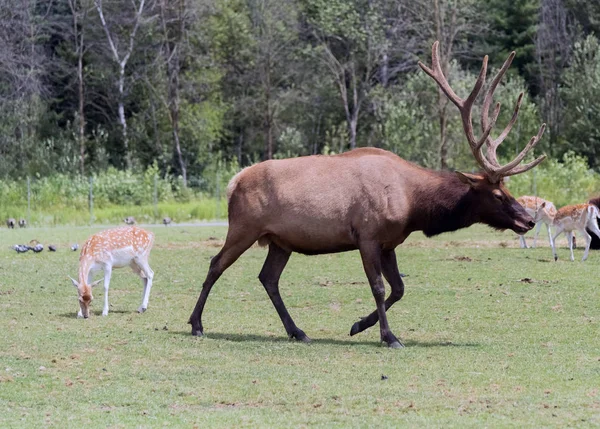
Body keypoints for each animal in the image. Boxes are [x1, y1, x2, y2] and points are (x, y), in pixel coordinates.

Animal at [189, 41, 548, 348]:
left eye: (510, 190)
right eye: (498, 194)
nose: (528, 220)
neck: (415, 206)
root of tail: (233, 182)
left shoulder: (390, 242)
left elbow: (399, 288)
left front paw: (359, 325)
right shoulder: (367, 235)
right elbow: (379, 287)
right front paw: (389, 337)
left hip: (280, 240)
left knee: (268, 278)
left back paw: (297, 331)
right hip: (244, 227)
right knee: (215, 264)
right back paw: (196, 324)